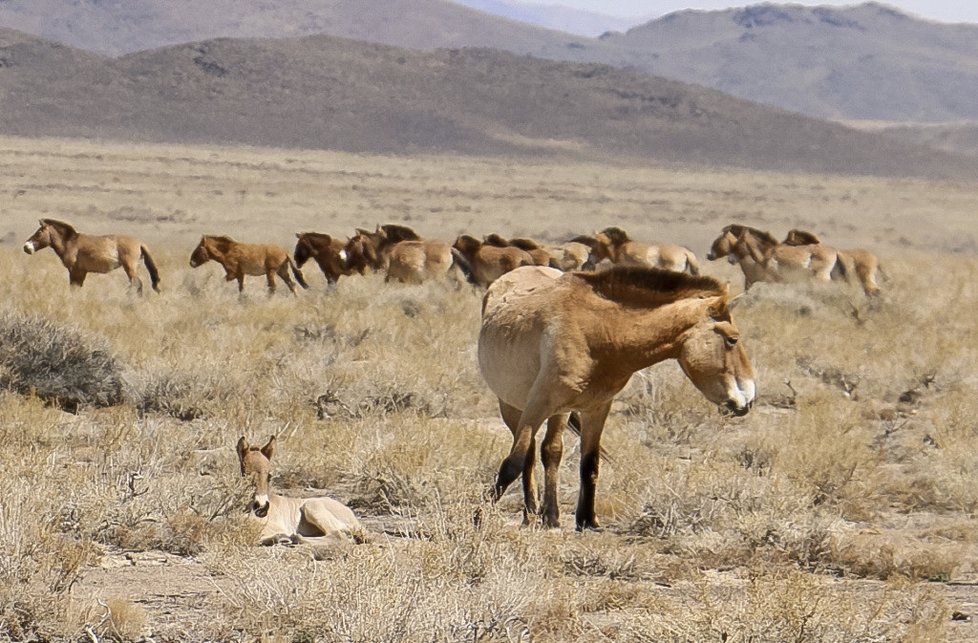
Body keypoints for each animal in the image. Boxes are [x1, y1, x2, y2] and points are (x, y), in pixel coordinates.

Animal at [22, 219, 161, 294]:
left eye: (39, 232)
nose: (26, 247)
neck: (70, 242)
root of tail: (140, 243)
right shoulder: (82, 272)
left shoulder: (75, 271)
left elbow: (74, 288)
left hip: (129, 267)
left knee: (137, 283)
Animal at [478, 264, 756, 532]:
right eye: (732, 340)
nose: (748, 400)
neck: (598, 332)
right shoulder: (538, 404)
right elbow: (512, 463)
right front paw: (479, 516)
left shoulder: (596, 408)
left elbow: (590, 463)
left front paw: (587, 520)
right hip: (513, 407)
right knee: (529, 454)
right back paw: (530, 514)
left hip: (560, 412)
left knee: (551, 451)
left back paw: (550, 516)